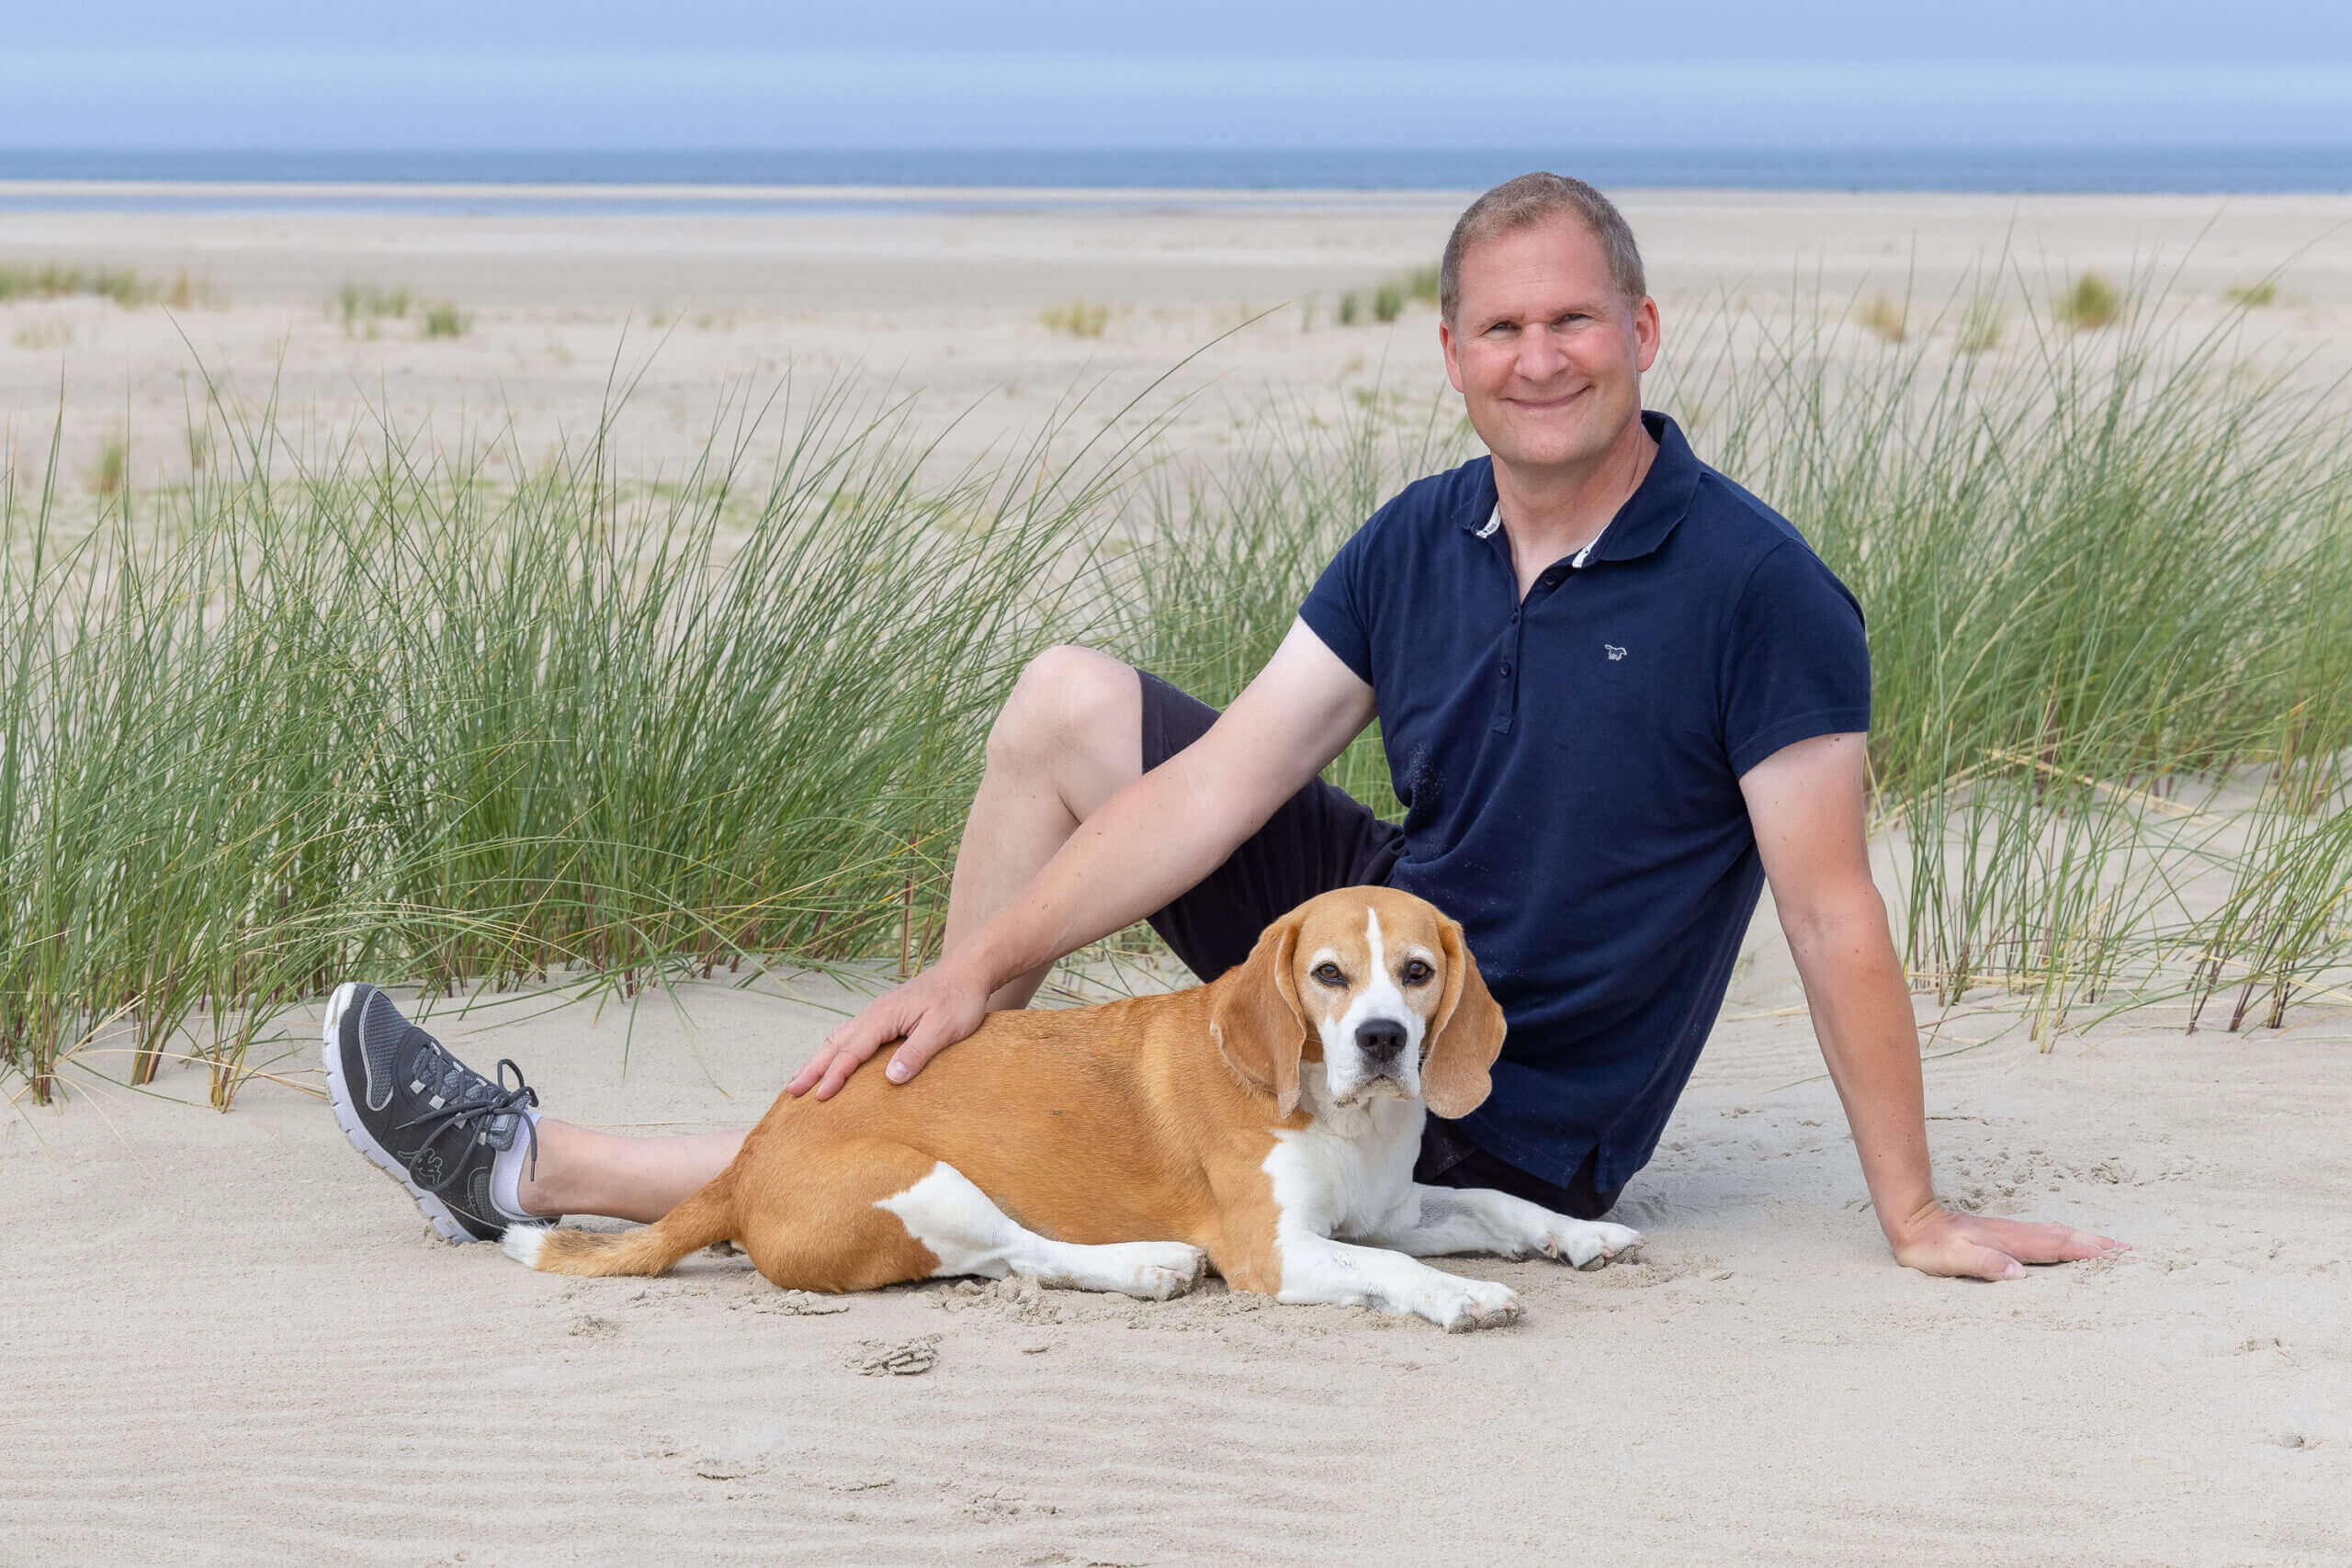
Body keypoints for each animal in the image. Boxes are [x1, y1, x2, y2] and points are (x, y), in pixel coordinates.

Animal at [501, 888, 1636, 1335]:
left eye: (1414, 972)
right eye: (1327, 975)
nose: (1384, 1040)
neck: (1342, 1117)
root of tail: (740, 1161)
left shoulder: (1384, 1212)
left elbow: (1492, 1204)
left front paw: (1578, 1233)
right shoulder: (1278, 1254)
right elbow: (1400, 1272)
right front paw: (1463, 1296)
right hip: (925, 1186)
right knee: (1020, 1254)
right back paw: (1145, 1265)